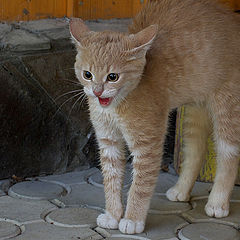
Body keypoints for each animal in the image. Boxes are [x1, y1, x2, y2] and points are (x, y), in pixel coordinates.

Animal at [69, 0, 240, 234]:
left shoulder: (147, 145)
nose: (97, 91)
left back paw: (218, 202)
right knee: (195, 150)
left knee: (228, 154)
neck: (116, 106)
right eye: (87, 74)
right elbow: (111, 180)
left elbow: (140, 185)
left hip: (227, 109)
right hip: (194, 112)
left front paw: (132, 219)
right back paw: (181, 189)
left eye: (112, 77)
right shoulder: (108, 141)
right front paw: (113, 214)